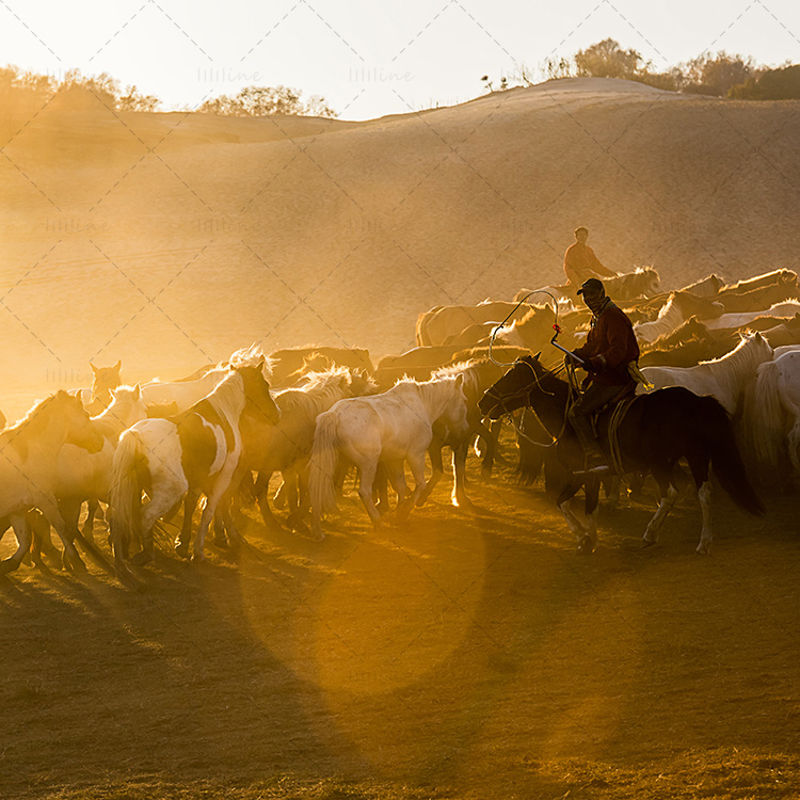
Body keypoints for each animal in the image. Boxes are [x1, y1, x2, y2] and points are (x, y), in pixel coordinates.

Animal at [109, 364, 278, 580]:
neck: (223, 413)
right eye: (265, 385)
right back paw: (146, 554)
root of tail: (134, 436)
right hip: (170, 491)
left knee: (119, 516)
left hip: (134, 489)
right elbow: (211, 508)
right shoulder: (223, 476)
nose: (276, 414)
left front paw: (182, 543)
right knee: (145, 515)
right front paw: (200, 549)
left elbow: (191, 504)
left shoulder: (200, 478)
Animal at [308, 376, 468, 536]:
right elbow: (420, 484)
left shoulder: (395, 459)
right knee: (364, 491)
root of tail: (335, 415)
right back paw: (377, 521)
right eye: (464, 400)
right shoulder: (416, 455)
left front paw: (399, 512)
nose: (464, 430)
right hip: (369, 464)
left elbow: (400, 486)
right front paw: (405, 510)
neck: (422, 404)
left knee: (318, 489)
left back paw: (317, 527)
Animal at [478, 356, 764, 556]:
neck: (566, 417)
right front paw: (589, 538)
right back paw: (703, 541)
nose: (482, 402)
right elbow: (585, 506)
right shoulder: (591, 476)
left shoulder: (580, 474)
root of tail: (696, 400)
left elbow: (566, 504)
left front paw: (584, 539)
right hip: (693, 457)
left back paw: (653, 535)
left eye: (511, 377)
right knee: (702, 492)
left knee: (671, 493)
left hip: (663, 462)